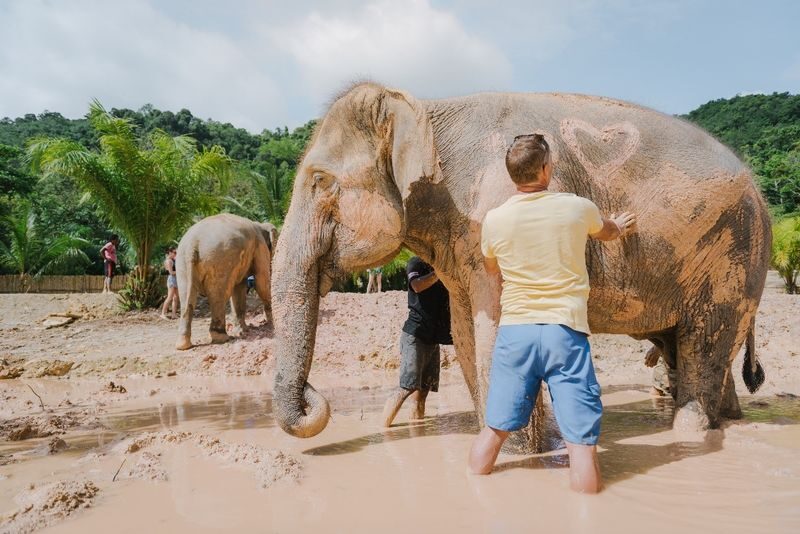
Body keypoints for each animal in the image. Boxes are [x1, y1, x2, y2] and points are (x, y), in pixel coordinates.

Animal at [175, 213, 276, 350]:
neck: (260, 224)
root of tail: (193, 243)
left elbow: (239, 287)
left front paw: (243, 331)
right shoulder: (260, 247)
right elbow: (262, 283)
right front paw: (272, 323)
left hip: (181, 263)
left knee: (186, 298)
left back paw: (183, 345)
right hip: (220, 259)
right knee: (219, 295)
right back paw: (222, 338)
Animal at [270, 82, 770, 451]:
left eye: (320, 182)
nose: (315, 401)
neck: (426, 110)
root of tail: (760, 191)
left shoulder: (496, 209)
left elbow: (496, 327)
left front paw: (522, 455)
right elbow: (467, 333)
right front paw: (517, 447)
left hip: (733, 255)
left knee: (705, 342)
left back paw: (692, 433)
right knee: (689, 347)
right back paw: (726, 420)